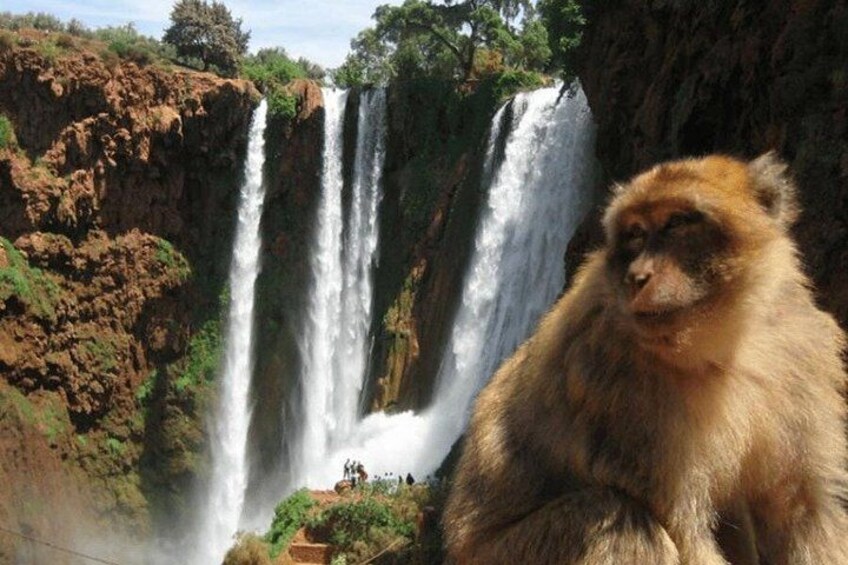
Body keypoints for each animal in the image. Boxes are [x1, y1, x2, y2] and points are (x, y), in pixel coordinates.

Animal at [443, 153, 848, 564]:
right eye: (636, 233)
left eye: (677, 223)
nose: (638, 276)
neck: (723, 342)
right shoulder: (619, 384)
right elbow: (683, 529)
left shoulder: (802, 346)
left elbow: (804, 508)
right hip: (509, 554)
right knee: (617, 517)